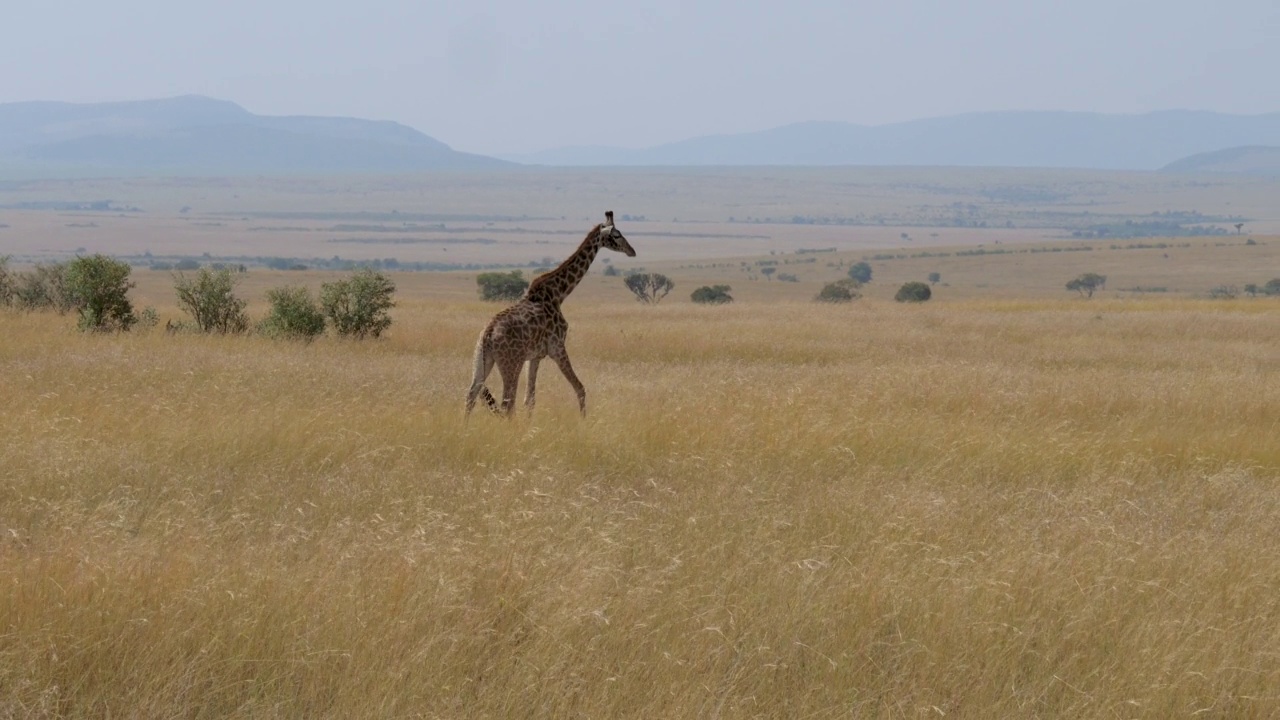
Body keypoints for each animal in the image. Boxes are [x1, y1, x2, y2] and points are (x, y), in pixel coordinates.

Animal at [465, 210, 634, 417]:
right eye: (616, 235)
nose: (632, 251)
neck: (559, 294)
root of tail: (487, 335)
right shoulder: (557, 347)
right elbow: (580, 388)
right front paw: (583, 420)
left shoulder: (535, 356)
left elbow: (530, 399)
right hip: (510, 363)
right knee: (506, 403)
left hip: (481, 360)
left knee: (472, 395)